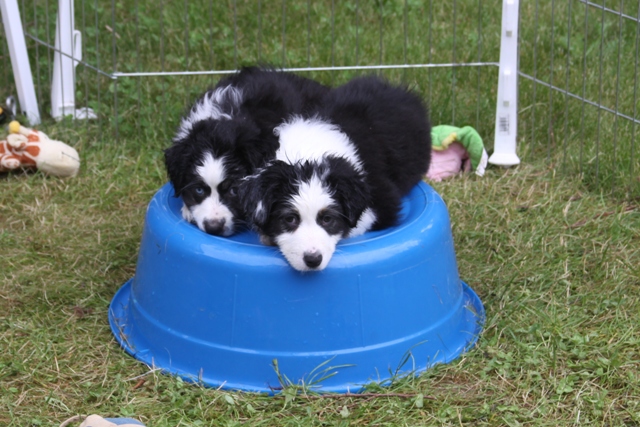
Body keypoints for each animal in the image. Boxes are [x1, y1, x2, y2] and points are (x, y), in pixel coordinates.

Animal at [241, 76, 431, 271]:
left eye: (327, 219)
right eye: (290, 219)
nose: (313, 260)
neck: (308, 152)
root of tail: (398, 89)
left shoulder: (382, 201)